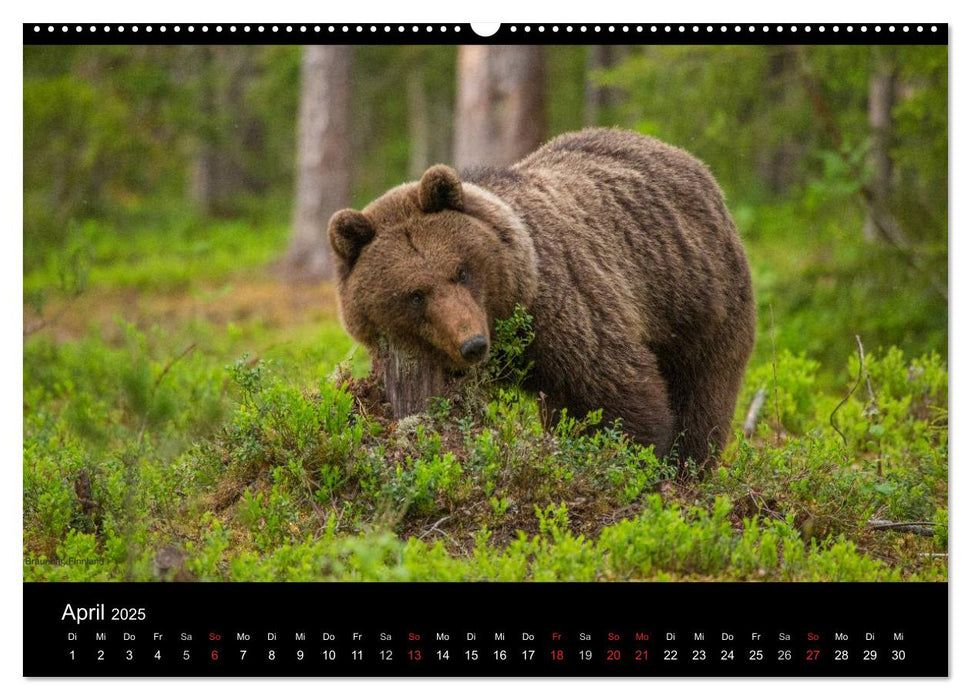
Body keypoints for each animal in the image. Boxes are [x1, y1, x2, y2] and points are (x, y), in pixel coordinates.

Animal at [330, 129, 756, 468]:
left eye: (462, 271)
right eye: (415, 295)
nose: (473, 344)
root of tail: (684, 156)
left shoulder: (565, 312)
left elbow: (616, 388)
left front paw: (635, 457)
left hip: (699, 295)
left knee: (703, 389)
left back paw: (691, 463)